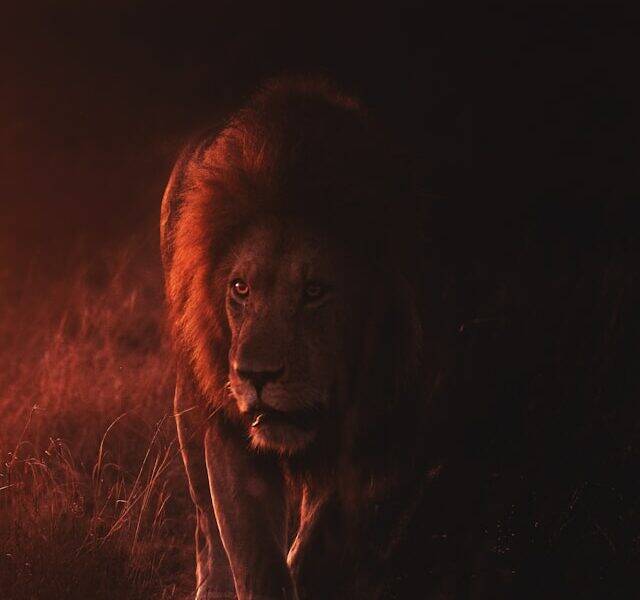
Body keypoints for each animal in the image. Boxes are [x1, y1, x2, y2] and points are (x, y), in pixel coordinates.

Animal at [160, 76, 441, 599]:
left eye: (314, 291)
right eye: (240, 287)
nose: (255, 375)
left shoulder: (369, 435)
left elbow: (317, 544)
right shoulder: (231, 432)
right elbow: (254, 555)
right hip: (191, 406)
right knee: (206, 525)